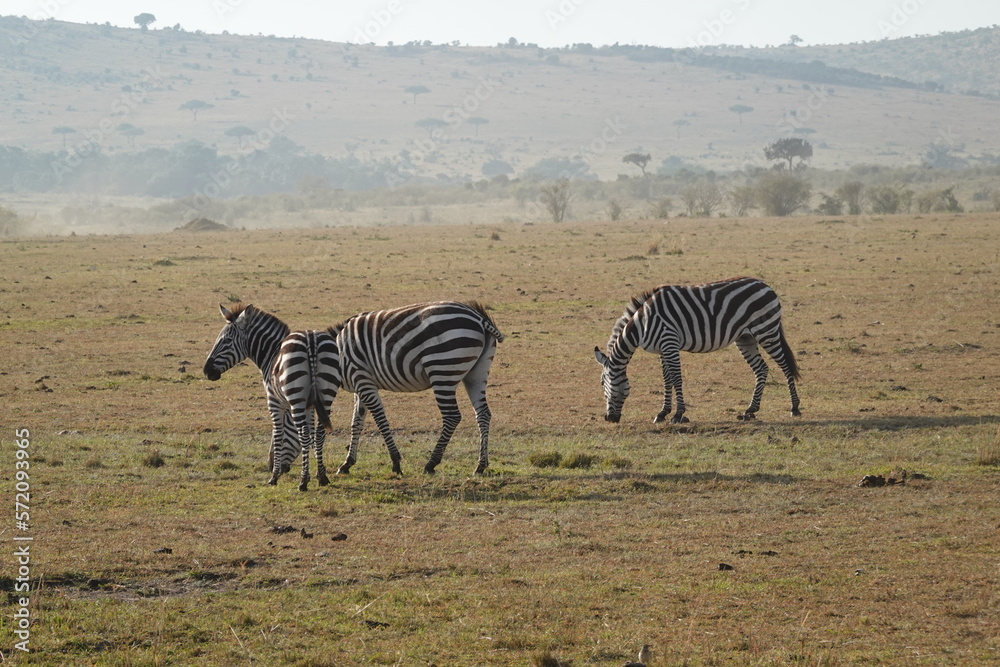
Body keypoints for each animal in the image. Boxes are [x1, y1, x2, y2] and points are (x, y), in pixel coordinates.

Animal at [203, 304, 336, 490]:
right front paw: (319, 474)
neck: (271, 353)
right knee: (320, 432)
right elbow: (311, 434)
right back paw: (322, 478)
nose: (206, 370)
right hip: (326, 394)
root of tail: (311, 339)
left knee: (303, 433)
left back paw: (302, 482)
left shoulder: (274, 401)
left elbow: (279, 434)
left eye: (226, 341)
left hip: (296, 397)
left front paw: (274, 476)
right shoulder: (309, 405)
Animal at [334, 301, 504, 476]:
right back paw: (481, 465)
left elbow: (380, 419)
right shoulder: (361, 386)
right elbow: (357, 422)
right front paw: (347, 463)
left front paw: (396, 462)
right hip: (477, 373)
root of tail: (478, 318)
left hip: (443, 370)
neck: (338, 354)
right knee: (483, 413)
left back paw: (431, 463)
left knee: (452, 416)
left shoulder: (362, 379)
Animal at [594, 276, 801, 424]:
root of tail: (765, 285)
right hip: (746, 338)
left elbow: (676, 378)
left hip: (766, 331)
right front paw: (662, 413)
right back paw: (750, 410)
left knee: (785, 366)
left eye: (603, 383)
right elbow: (666, 379)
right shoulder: (662, 349)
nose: (609, 419)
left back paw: (795, 407)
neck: (641, 325)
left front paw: (678, 414)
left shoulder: (669, 343)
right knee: (762, 369)